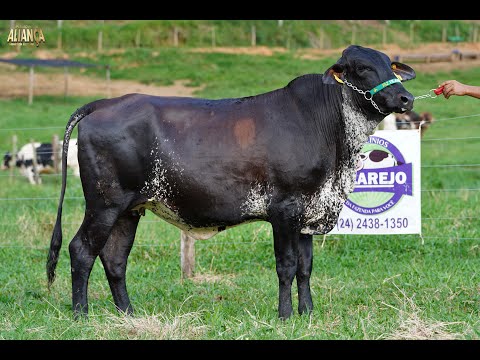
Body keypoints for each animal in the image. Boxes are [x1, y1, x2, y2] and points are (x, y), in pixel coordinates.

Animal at [47, 45, 416, 320]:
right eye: (363, 68)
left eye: (390, 65)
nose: (405, 98)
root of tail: (105, 103)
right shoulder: (285, 209)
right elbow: (286, 265)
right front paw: (285, 316)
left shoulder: (310, 211)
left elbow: (306, 267)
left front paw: (308, 314)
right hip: (104, 204)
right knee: (82, 250)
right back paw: (81, 315)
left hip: (129, 209)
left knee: (115, 258)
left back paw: (129, 315)